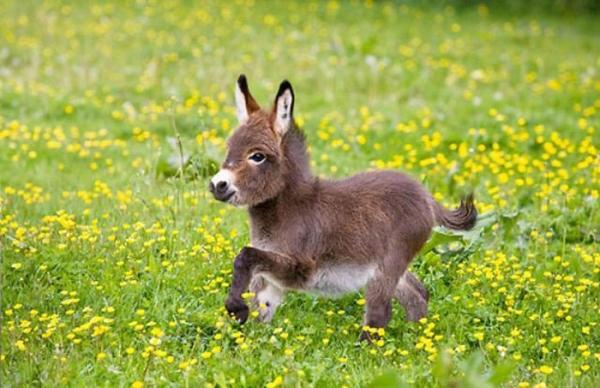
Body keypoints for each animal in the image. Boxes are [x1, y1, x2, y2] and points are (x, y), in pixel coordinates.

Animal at [209, 75, 476, 340]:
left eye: (257, 156)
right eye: (229, 149)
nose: (216, 185)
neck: (287, 209)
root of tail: (426, 196)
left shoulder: (301, 268)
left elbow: (245, 256)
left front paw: (236, 309)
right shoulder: (270, 273)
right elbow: (261, 304)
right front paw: (251, 337)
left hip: (388, 264)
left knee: (380, 313)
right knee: (418, 294)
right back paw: (419, 339)